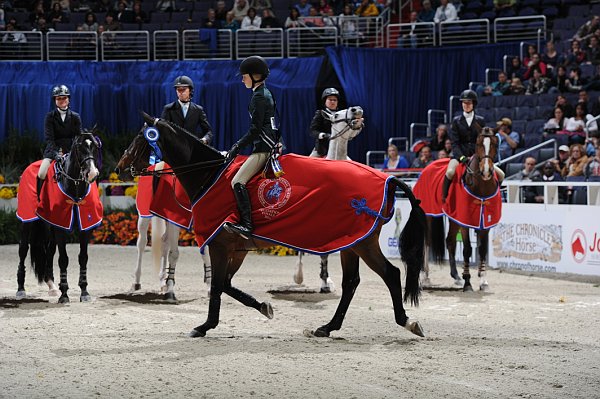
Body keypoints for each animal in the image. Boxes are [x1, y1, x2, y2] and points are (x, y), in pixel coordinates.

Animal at [17, 130, 102, 304]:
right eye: (79, 148)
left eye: (95, 147)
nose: (92, 174)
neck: (75, 187)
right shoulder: (61, 229)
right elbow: (63, 259)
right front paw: (64, 295)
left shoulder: (84, 228)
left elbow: (83, 257)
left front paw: (84, 292)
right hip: (27, 222)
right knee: (23, 250)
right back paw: (21, 290)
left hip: (50, 227)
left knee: (49, 252)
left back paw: (52, 287)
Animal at [115, 128, 213, 300]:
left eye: (138, 140)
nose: (119, 169)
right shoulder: (175, 221)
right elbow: (174, 253)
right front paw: (171, 290)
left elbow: (205, 251)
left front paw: (209, 287)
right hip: (144, 216)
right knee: (142, 243)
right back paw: (137, 282)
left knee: (164, 242)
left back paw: (162, 282)